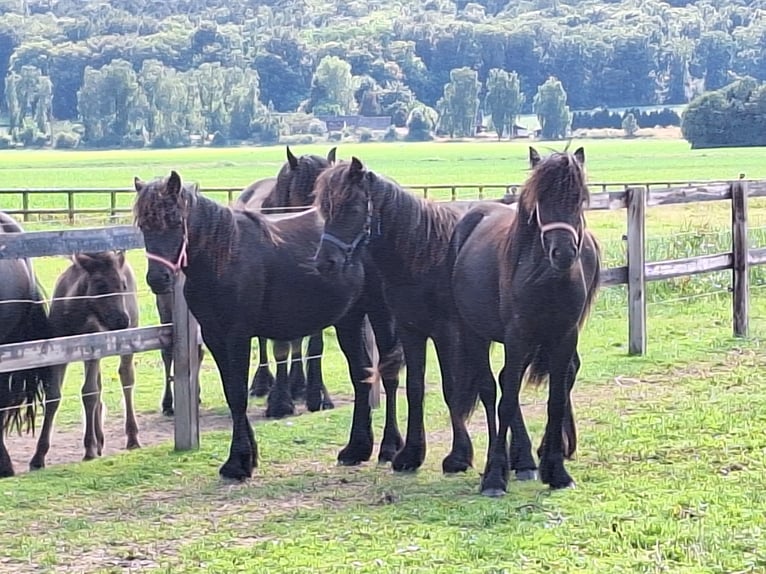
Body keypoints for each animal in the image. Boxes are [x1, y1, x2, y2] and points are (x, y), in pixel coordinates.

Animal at [134, 172, 404, 482]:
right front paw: (247, 457)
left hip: (381, 315)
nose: (158, 279)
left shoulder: (237, 336)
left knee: (389, 375)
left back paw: (391, 448)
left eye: (177, 221)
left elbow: (238, 394)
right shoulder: (215, 338)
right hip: (349, 318)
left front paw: (237, 462)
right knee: (361, 374)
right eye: (144, 225)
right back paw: (356, 449)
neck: (224, 258)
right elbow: (232, 394)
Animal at [452, 147, 604, 496]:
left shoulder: (563, 337)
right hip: (475, 334)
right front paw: (495, 478)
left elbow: (556, 399)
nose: (563, 253)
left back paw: (523, 461)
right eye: (539, 200)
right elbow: (506, 400)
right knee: (491, 390)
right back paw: (503, 464)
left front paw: (557, 471)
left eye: (579, 198)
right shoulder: (517, 337)